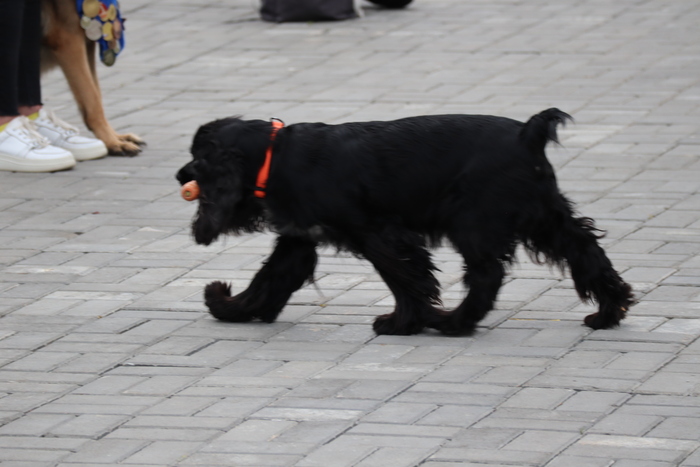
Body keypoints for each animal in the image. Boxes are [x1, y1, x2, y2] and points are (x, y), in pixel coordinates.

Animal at [40, 0, 144, 156]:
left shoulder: (87, 42)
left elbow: (95, 94)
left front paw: (116, 137)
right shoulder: (69, 41)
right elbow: (92, 98)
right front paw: (111, 142)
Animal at [176, 109, 634, 336]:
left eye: (198, 158)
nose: (180, 176)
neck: (277, 155)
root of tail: (528, 134)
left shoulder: (379, 234)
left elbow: (405, 279)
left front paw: (401, 324)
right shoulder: (299, 239)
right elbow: (269, 278)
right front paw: (229, 306)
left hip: (473, 222)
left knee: (486, 275)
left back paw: (452, 323)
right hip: (544, 216)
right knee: (585, 249)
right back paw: (608, 312)